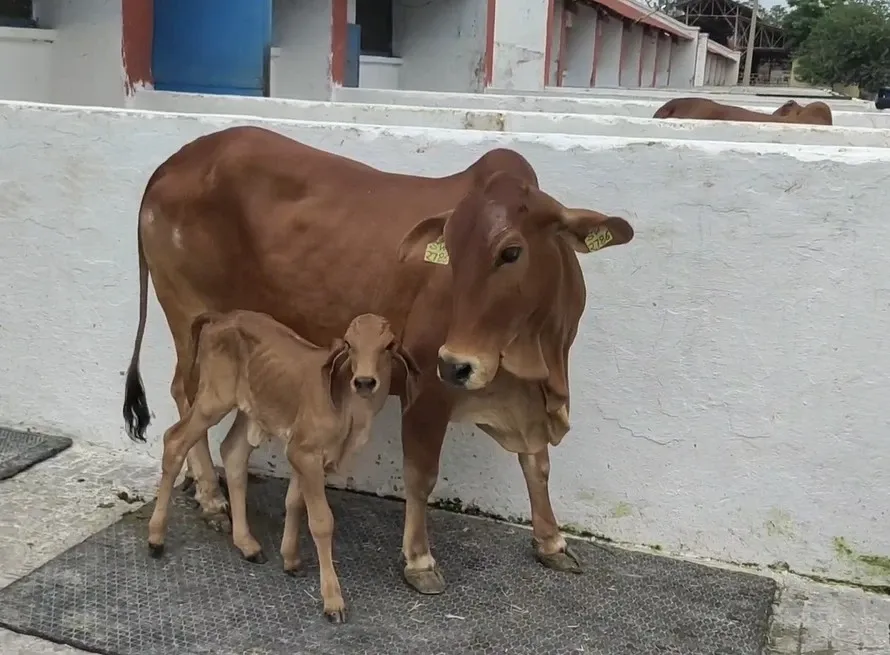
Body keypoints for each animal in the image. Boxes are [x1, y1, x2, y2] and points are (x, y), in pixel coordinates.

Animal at [123, 125, 635, 595]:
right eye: (450, 255)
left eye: (511, 252)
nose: (457, 365)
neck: (533, 355)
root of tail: (173, 162)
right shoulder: (427, 388)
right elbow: (421, 476)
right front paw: (420, 561)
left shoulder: (524, 397)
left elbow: (537, 464)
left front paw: (551, 542)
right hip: (186, 313)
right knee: (184, 396)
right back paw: (210, 499)